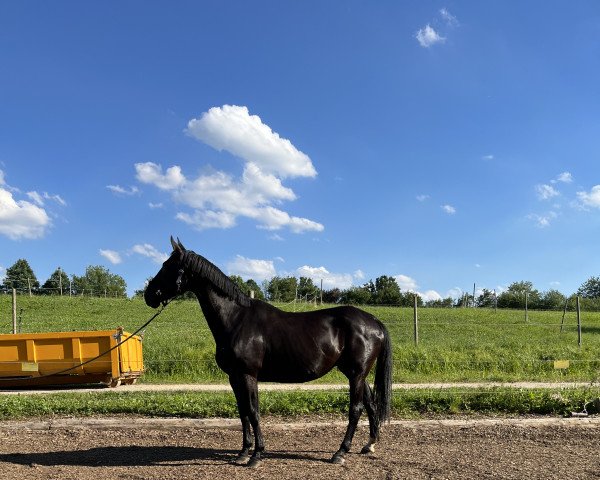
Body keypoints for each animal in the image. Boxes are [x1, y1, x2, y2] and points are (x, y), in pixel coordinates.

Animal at [143, 238, 392, 466]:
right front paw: (243, 452)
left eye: (167, 265)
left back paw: (340, 453)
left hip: (356, 374)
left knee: (356, 409)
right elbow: (243, 412)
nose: (149, 295)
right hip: (355, 373)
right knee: (370, 404)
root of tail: (375, 321)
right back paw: (368, 445)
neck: (236, 319)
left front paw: (256, 455)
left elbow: (253, 411)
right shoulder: (234, 377)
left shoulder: (248, 375)